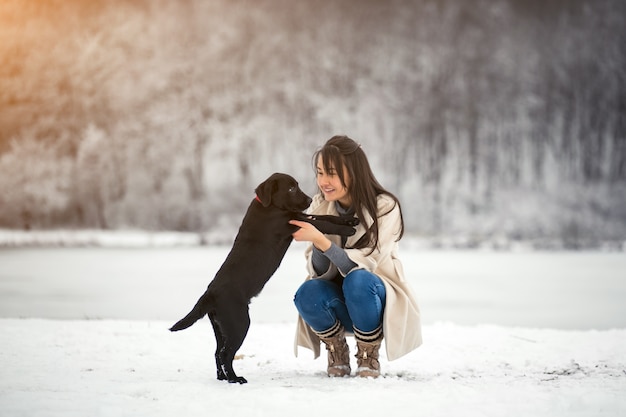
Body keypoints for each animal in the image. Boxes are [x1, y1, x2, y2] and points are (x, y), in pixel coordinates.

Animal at [169, 172, 356, 384]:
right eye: (291, 188)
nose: (309, 200)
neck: (270, 207)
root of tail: (210, 294)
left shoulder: (298, 216)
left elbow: (324, 216)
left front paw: (350, 220)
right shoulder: (292, 222)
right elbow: (322, 222)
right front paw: (348, 230)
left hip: (220, 327)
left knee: (217, 352)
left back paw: (222, 378)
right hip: (239, 323)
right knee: (226, 354)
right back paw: (235, 379)